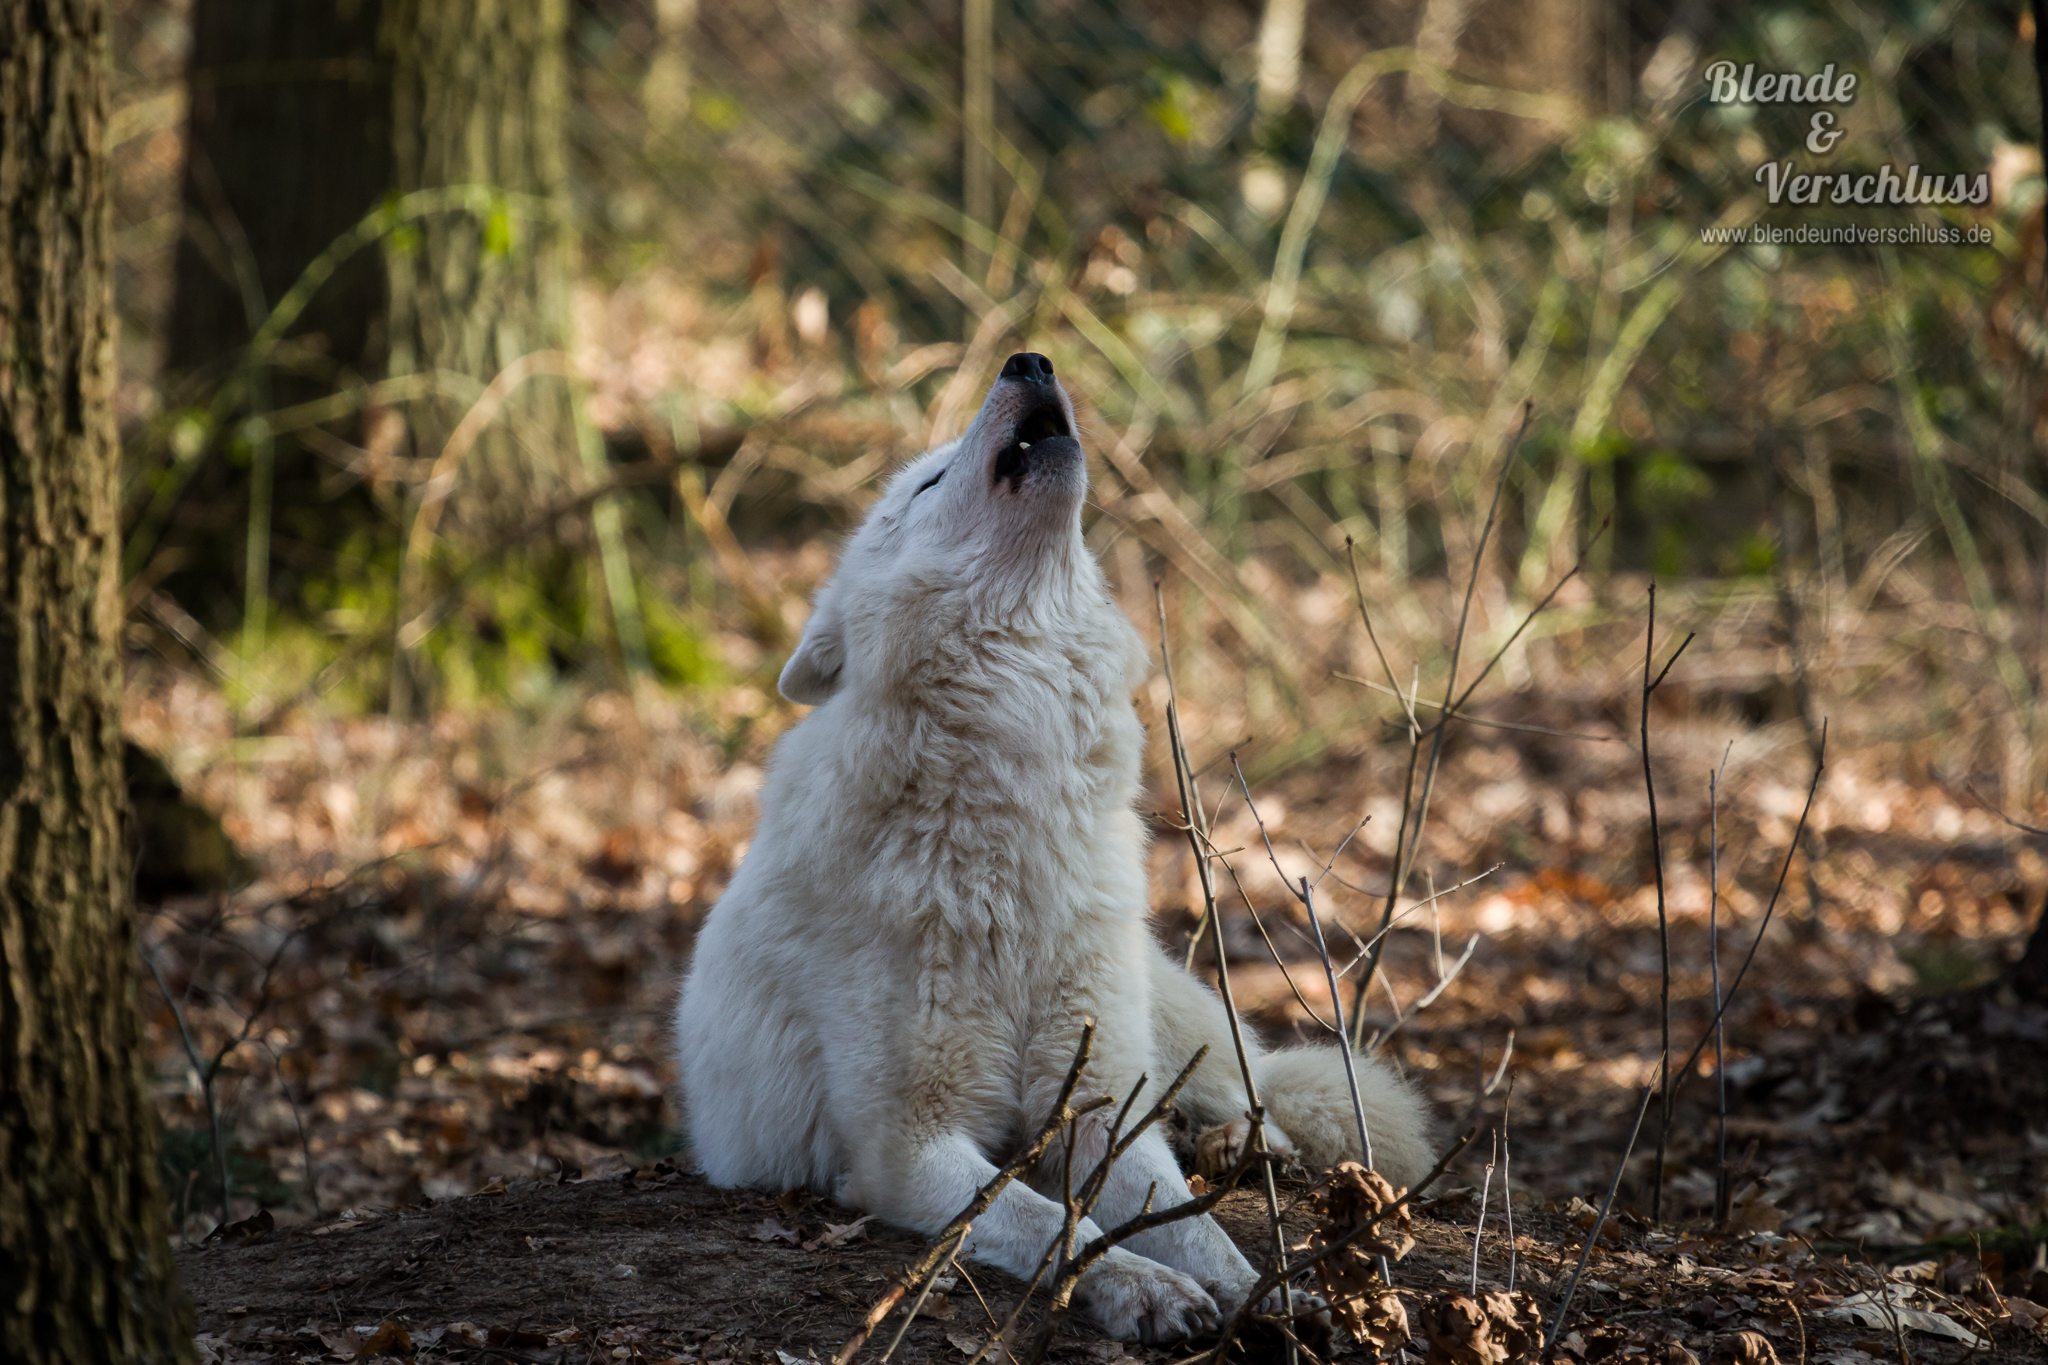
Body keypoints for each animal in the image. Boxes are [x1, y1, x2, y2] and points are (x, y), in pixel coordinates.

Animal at [675, 356, 1441, 1342]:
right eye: (928, 483)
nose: (1028, 361)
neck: (1009, 808)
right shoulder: (904, 1147)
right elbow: (1054, 1222)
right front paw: (1147, 1289)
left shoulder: (1097, 1100)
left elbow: (1190, 1224)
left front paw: (1260, 1291)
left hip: (1161, 1009)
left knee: (1249, 1082)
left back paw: (1244, 1143)